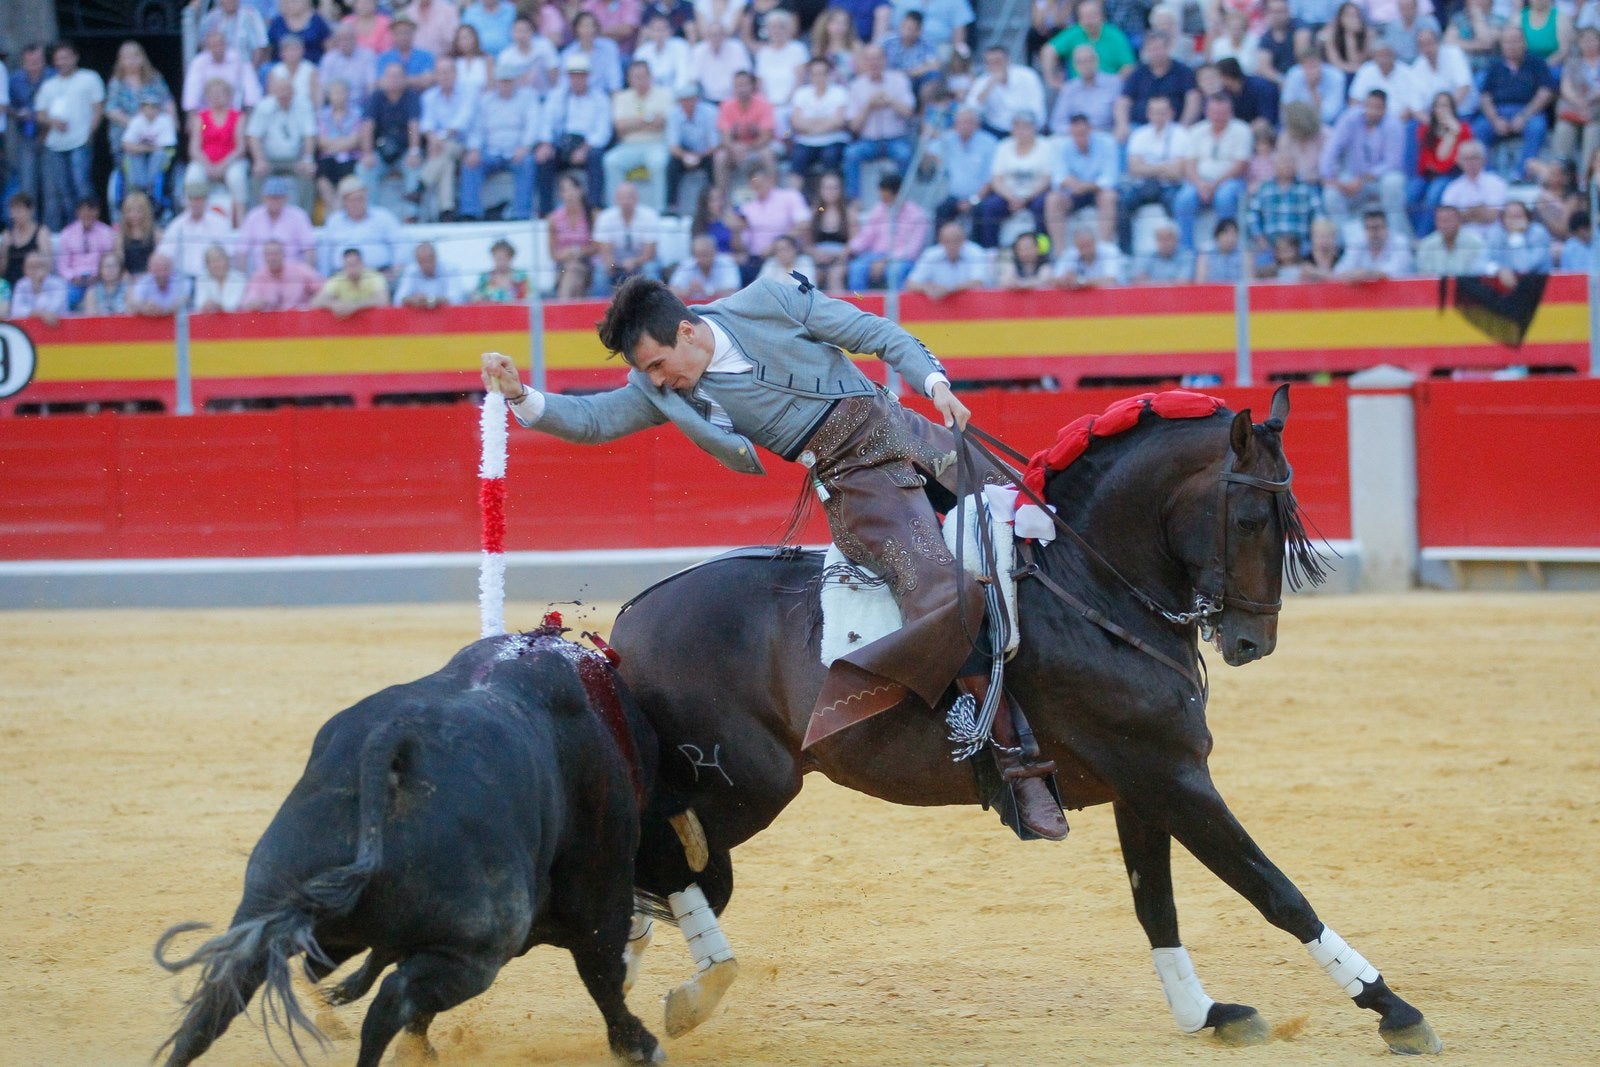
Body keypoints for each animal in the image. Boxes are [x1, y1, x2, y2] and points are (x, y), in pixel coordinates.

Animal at [154, 627, 662, 1067]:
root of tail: (393, 742)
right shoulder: (598, 893)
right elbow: (603, 971)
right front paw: (638, 1045)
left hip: (266, 904)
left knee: (217, 1001)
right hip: (478, 948)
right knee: (392, 1000)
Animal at [608, 388, 1440, 1055]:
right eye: (1247, 516)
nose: (1250, 642)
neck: (1092, 587)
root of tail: (630, 618)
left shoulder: (1144, 788)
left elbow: (1155, 901)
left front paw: (1203, 1011)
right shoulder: (1171, 776)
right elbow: (1274, 887)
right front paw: (1394, 1009)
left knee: (659, 868)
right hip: (746, 785)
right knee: (661, 860)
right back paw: (686, 987)